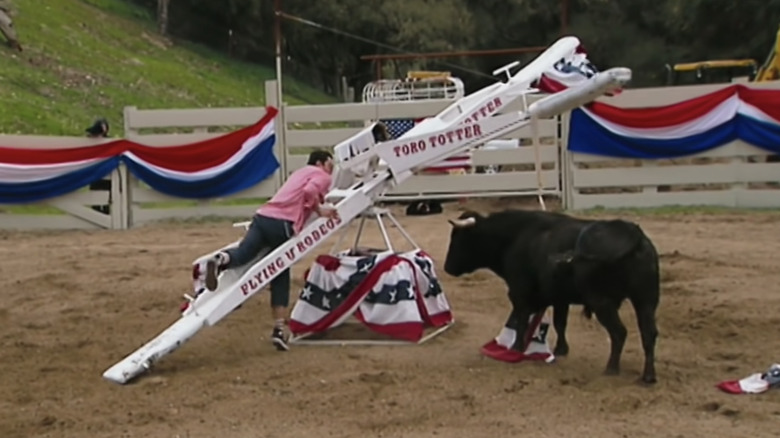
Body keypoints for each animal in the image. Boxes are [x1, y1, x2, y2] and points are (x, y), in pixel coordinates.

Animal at [444, 209, 660, 384]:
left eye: (459, 238)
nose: (447, 267)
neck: (514, 237)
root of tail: (634, 235)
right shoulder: (559, 299)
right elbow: (559, 323)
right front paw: (561, 350)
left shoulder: (519, 293)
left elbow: (521, 320)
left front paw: (516, 348)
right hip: (646, 301)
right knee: (649, 333)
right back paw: (648, 376)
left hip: (603, 303)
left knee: (619, 332)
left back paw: (612, 368)